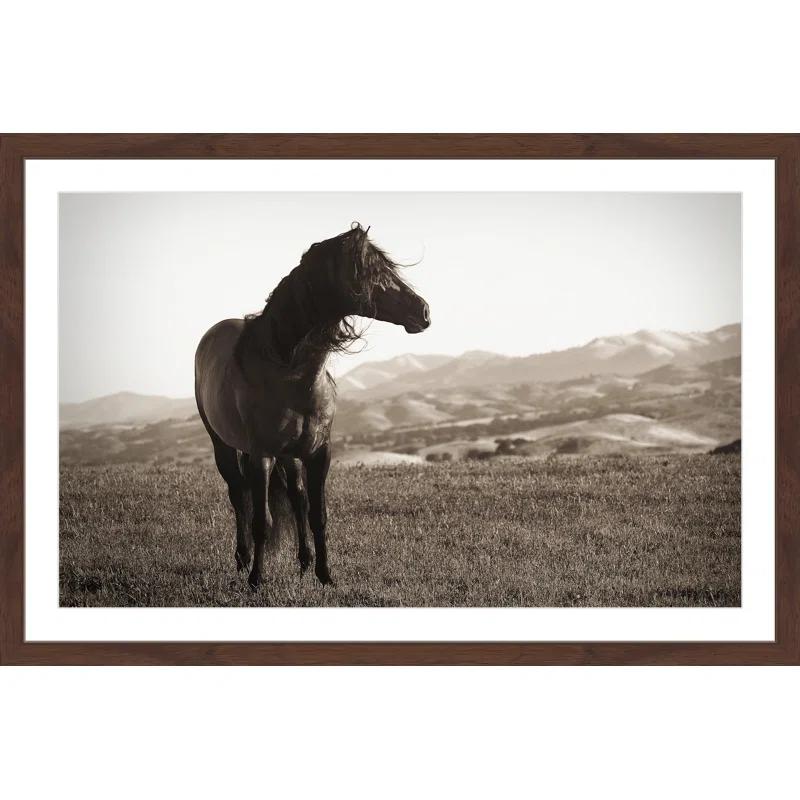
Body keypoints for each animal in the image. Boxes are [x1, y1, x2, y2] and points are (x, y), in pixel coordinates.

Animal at [194, 223, 431, 589]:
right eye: (374, 272)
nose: (423, 311)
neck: (288, 373)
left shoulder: (320, 452)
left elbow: (317, 513)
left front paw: (325, 575)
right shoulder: (262, 455)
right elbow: (262, 520)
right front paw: (257, 579)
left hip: (290, 456)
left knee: (296, 496)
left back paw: (304, 561)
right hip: (224, 445)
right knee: (239, 495)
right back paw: (243, 559)